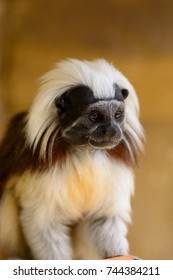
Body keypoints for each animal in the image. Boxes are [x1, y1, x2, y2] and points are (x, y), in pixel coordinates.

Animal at [0, 59, 144, 260]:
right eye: (94, 116)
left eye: (117, 115)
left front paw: (118, 255)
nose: (112, 130)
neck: (85, 151)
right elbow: (43, 224)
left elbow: (102, 217)